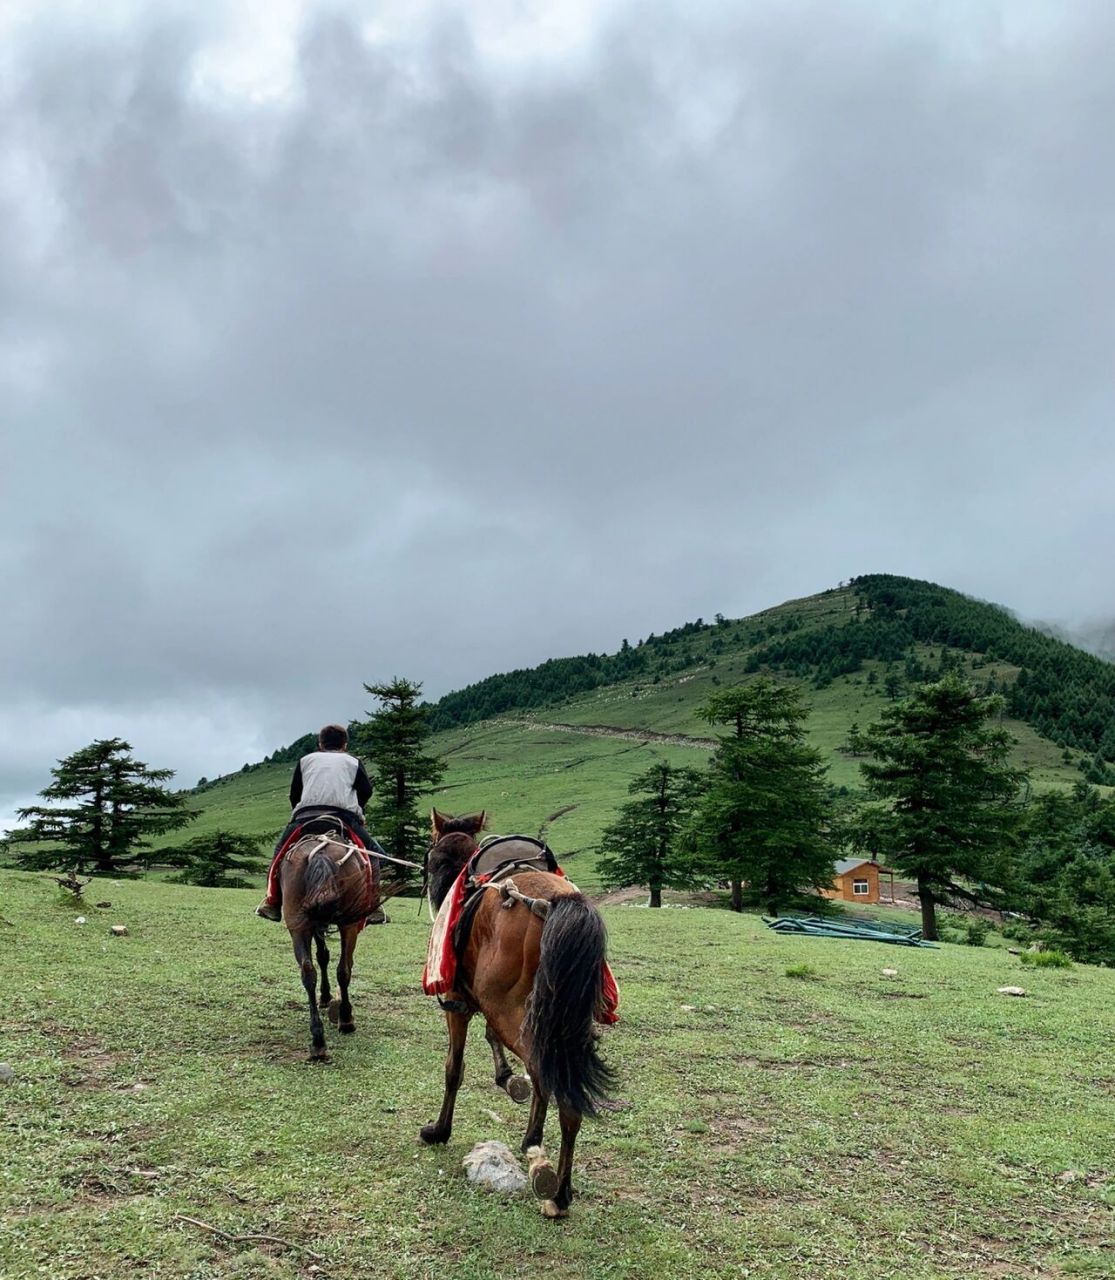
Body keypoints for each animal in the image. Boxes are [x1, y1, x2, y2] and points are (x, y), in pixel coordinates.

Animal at [279, 819, 378, 1059]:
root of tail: (321, 850)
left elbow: (322, 956)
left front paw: (324, 997)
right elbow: (331, 960)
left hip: (298, 923)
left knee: (308, 972)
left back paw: (318, 1041)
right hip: (349, 924)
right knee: (344, 969)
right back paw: (346, 1020)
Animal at [419, 808, 614, 1218]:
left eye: (431, 854)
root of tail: (555, 903)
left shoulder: (458, 1003)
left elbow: (453, 1069)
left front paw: (439, 1131)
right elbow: (492, 1040)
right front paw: (508, 1079)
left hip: (509, 1008)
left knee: (545, 1071)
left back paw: (539, 1160)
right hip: (559, 1021)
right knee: (563, 1087)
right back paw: (559, 1191)